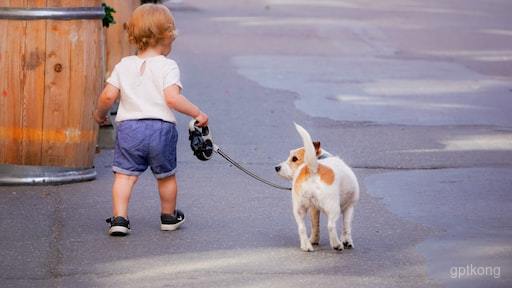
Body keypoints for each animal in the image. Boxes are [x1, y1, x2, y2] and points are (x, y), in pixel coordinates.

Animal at [276, 124, 360, 252]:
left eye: (294, 158)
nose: (277, 167)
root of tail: (312, 169)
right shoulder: (349, 207)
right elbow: (346, 226)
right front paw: (347, 241)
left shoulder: (313, 209)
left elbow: (315, 225)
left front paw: (314, 240)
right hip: (334, 208)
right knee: (331, 226)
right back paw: (337, 244)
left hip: (299, 209)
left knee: (301, 228)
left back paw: (306, 246)